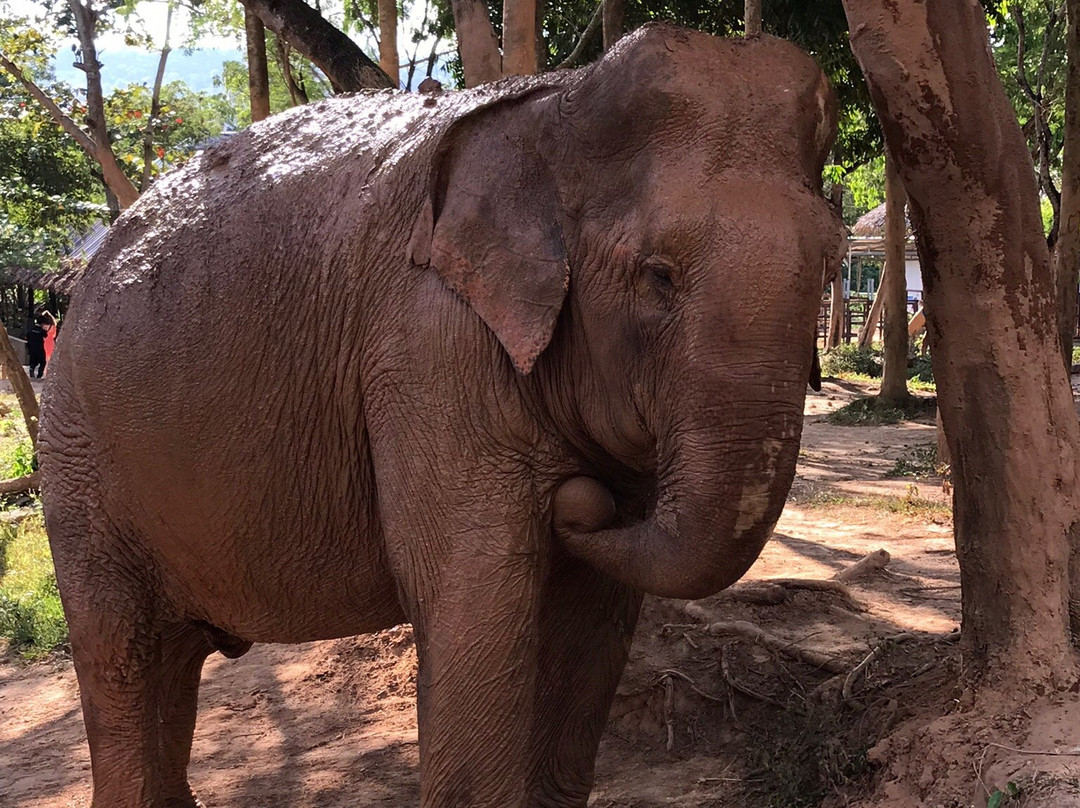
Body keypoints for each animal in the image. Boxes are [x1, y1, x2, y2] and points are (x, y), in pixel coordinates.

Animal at [39, 23, 833, 808]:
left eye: (829, 263)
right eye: (658, 276)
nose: (578, 504)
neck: (558, 101)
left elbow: (597, 615)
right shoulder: (426, 346)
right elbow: (473, 600)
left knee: (168, 660)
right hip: (77, 454)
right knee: (123, 652)